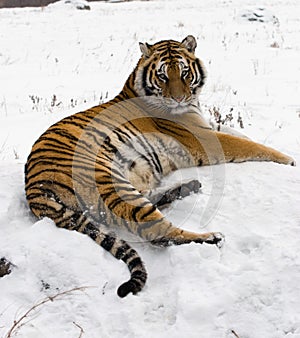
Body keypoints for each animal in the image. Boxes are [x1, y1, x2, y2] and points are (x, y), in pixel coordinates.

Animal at [24, 35, 296, 298]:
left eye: (184, 72)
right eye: (163, 75)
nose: (178, 98)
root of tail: (35, 192)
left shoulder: (206, 126)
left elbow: (241, 135)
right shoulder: (202, 137)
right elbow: (247, 145)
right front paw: (290, 160)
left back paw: (187, 187)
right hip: (109, 181)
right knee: (158, 233)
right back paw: (210, 237)